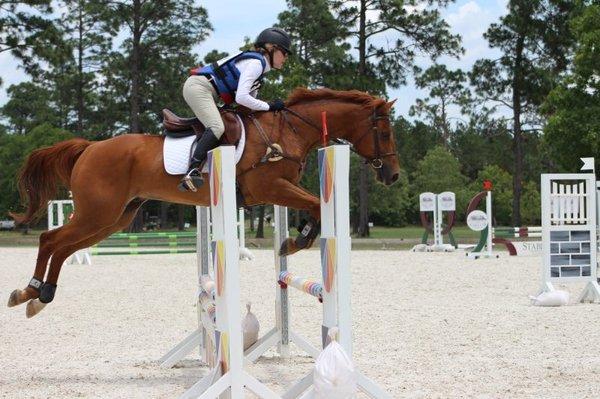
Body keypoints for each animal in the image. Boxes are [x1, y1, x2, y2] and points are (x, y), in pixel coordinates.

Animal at [7, 88, 400, 318]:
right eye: (383, 132)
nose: (393, 176)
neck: (288, 130)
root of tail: (89, 147)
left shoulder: (279, 189)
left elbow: (315, 209)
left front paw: (291, 240)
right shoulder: (270, 187)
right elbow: (316, 206)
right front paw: (294, 241)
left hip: (113, 218)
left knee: (63, 246)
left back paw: (38, 296)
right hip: (97, 212)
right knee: (51, 239)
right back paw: (29, 291)